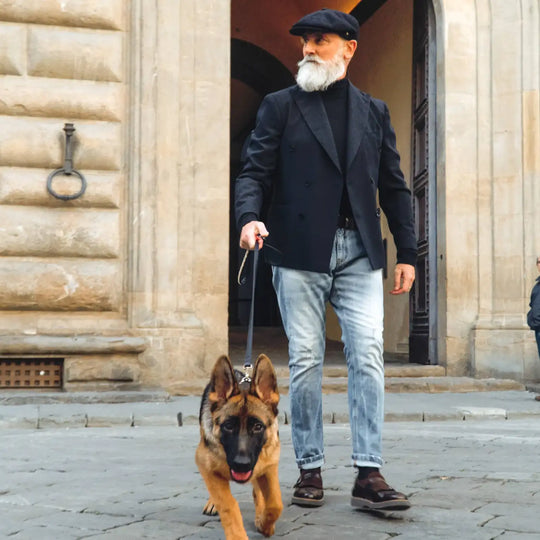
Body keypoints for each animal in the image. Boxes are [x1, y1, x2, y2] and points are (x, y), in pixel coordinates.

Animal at [197, 354, 282, 540]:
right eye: (228, 426)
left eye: (258, 426)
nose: (241, 464)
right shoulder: (205, 465)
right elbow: (228, 504)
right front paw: (237, 535)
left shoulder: (269, 466)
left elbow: (275, 503)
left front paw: (265, 524)